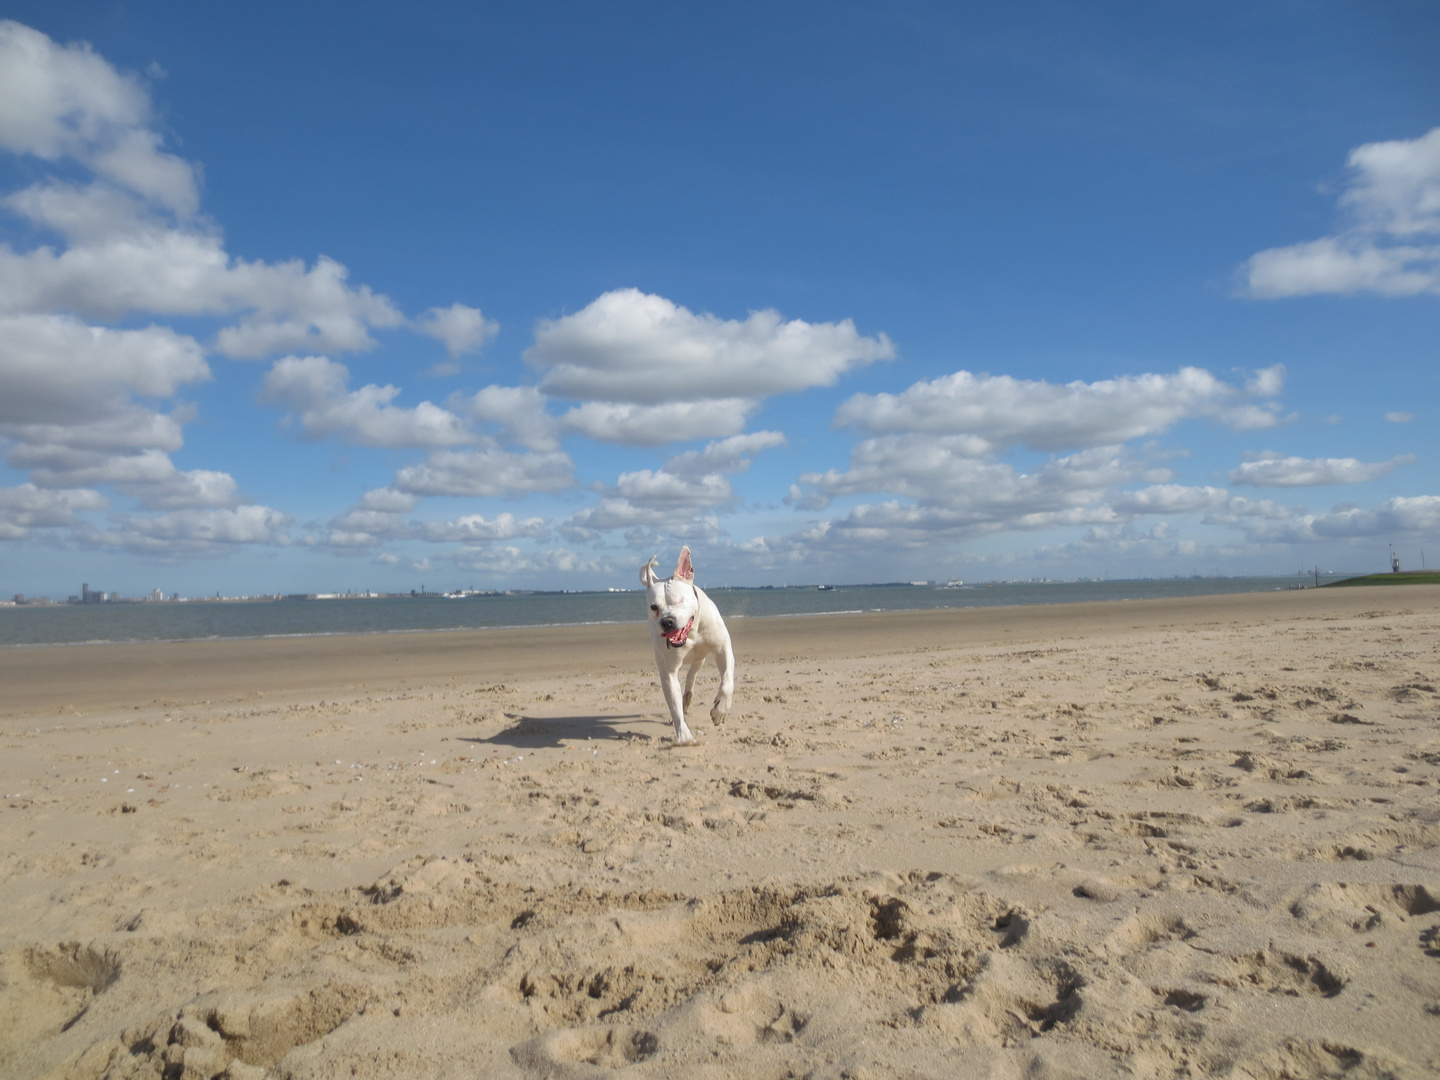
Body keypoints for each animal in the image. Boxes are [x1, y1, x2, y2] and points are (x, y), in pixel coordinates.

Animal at [639, 550, 731, 743]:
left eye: (679, 601)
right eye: (654, 607)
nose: (667, 621)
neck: (691, 632)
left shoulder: (723, 649)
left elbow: (727, 681)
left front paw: (720, 711)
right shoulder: (668, 672)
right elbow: (674, 706)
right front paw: (685, 737)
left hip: (701, 657)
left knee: (692, 673)